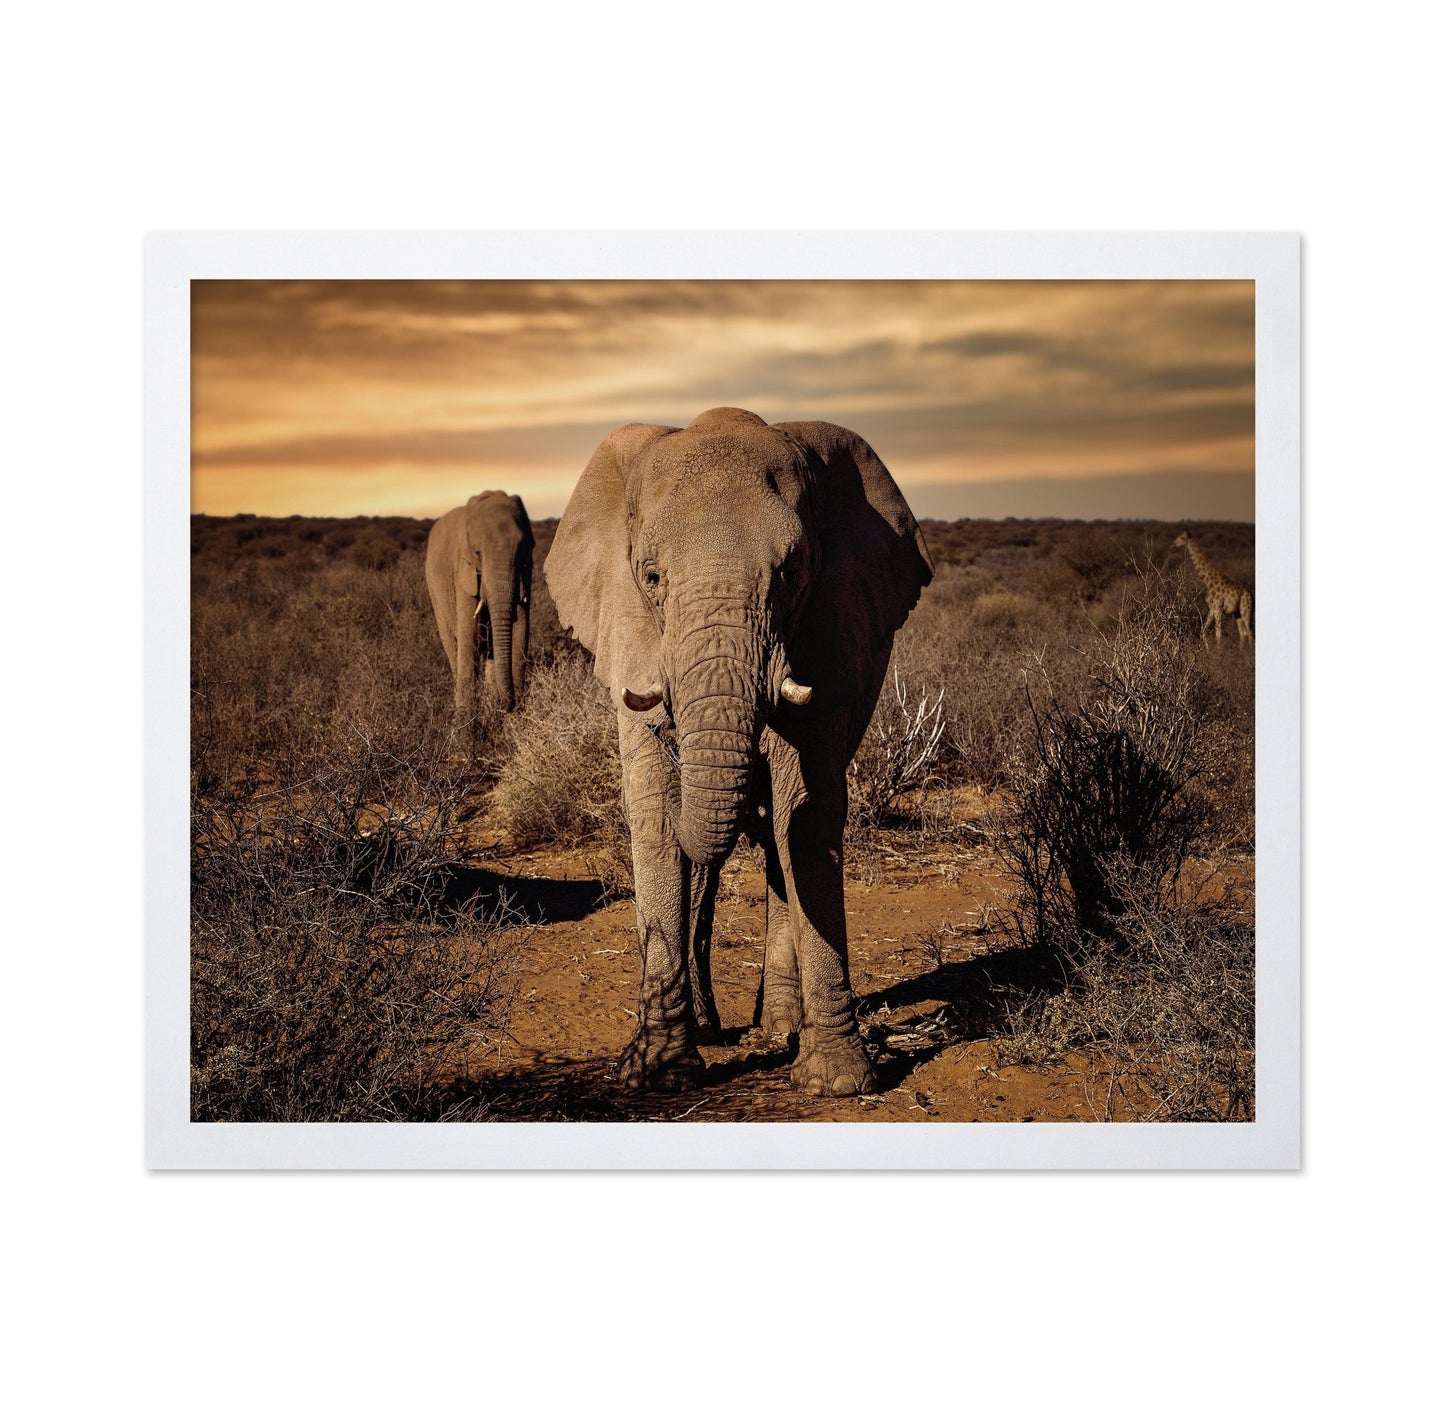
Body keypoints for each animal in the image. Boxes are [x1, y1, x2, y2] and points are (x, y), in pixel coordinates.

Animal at [425, 491, 533, 741]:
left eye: (522, 550)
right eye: (477, 553)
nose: (507, 705)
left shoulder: (527, 572)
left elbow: (520, 633)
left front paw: (512, 735)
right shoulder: (462, 574)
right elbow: (469, 639)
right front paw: (464, 744)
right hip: (434, 592)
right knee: (453, 647)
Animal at [545, 407, 933, 1096]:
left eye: (792, 571)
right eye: (650, 576)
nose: (673, 735)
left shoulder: (828, 632)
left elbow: (806, 817)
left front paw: (838, 1082)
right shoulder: (631, 635)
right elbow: (653, 816)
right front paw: (659, 1075)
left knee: (780, 846)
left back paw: (777, 1029)